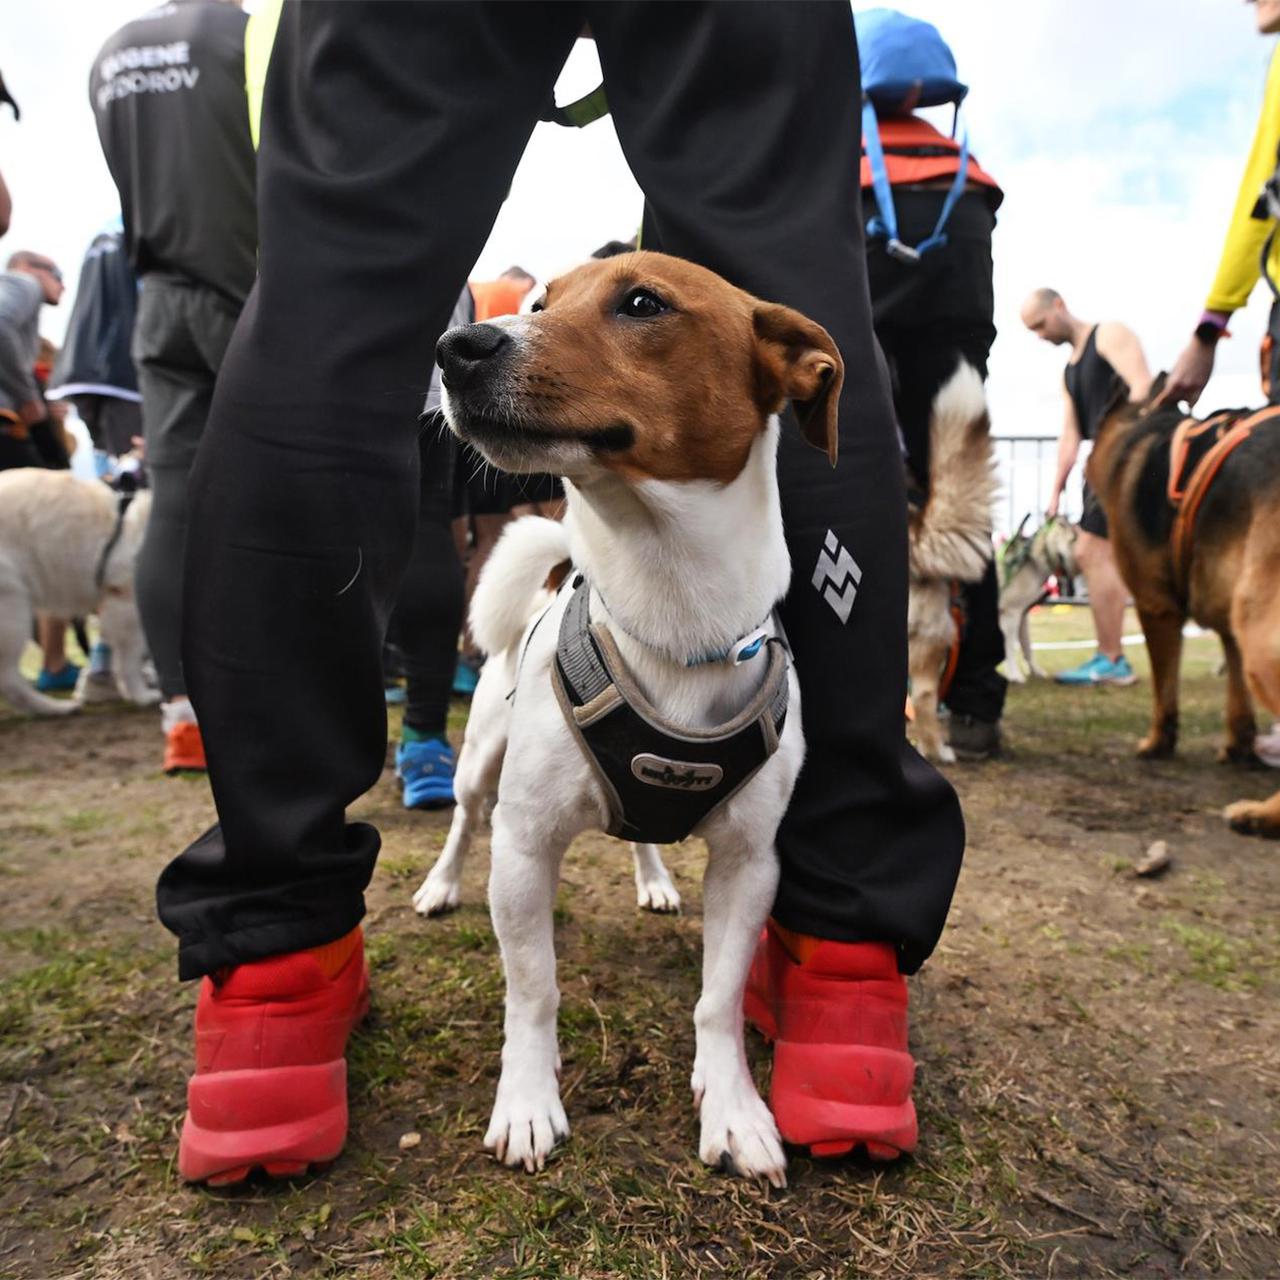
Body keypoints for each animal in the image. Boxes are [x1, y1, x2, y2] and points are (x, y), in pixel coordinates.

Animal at [414, 252, 844, 1187]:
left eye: (642, 303)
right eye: (540, 301)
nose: (456, 347)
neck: (672, 609)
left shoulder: (751, 863)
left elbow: (719, 1000)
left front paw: (733, 1108)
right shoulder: (525, 844)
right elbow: (534, 988)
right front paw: (528, 1101)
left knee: (642, 833)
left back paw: (652, 877)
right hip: (481, 763)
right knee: (463, 819)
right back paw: (439, 885)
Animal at [1085, 376, 1280, 839]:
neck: (1142, 425)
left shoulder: (1156, 609)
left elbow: (1164, 689)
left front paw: (1158, 743)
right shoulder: (1229, 625)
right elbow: (1238, 701)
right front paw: (1238, 748)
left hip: (1261, 635)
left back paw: (1260, 815)